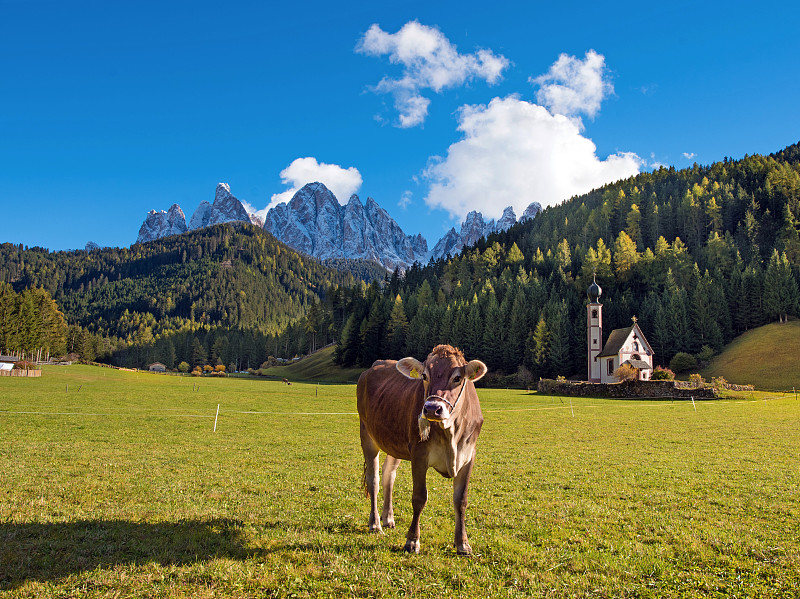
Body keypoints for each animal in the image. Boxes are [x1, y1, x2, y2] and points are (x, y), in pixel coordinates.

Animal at [356, 344, 488, 556]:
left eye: (457, 378)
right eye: (425, 375)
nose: (432, 408)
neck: (451, 434)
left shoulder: (469, 456)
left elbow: (461, 500)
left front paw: (463, 543)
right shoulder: (419, 454)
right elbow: (419, 498)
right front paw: (412, 540)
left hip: (395, 443)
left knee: (388, 475)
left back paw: (388, 518)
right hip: (367, 434)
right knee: (373, 479)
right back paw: (375, 523)